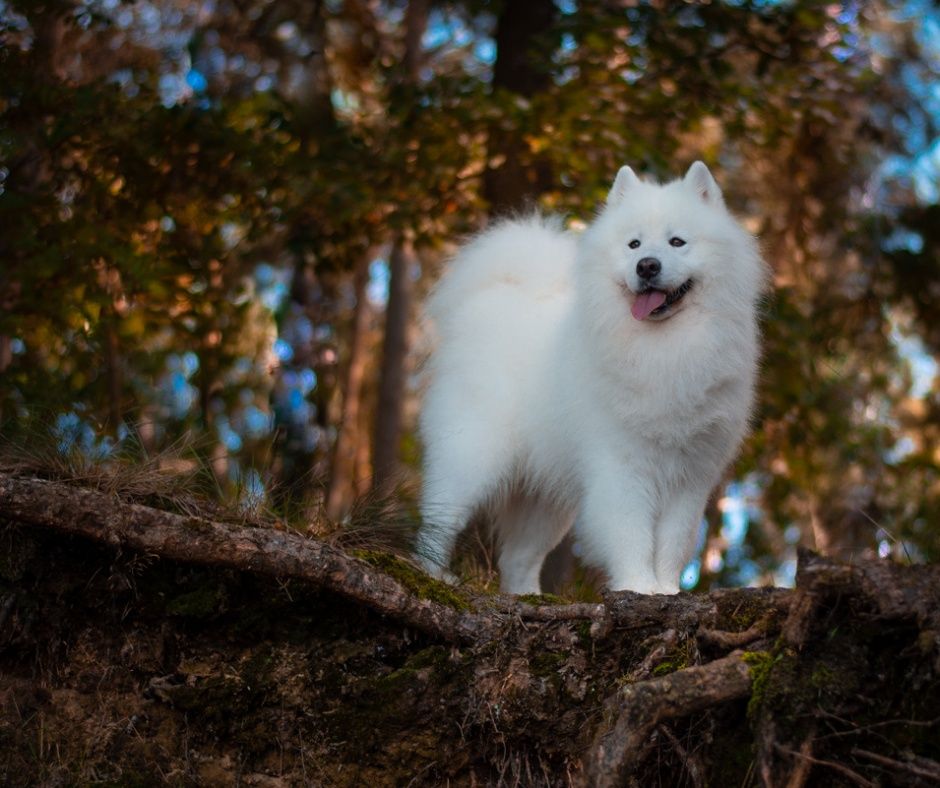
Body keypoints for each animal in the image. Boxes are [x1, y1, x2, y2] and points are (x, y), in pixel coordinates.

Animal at [414, 163, 768, 596]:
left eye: (677, 242)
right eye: (634, 244)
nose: (647, 265)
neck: (664, 347)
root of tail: (496, 294)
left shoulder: (690, 476)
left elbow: (674, 541)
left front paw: (667, 590)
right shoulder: (621, 466)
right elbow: (631, 535)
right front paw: (638, 586)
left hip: (546, 498)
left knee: (517, 557)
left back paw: (530, 597)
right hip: (473, 453)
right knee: (438, 520)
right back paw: (432, 573)